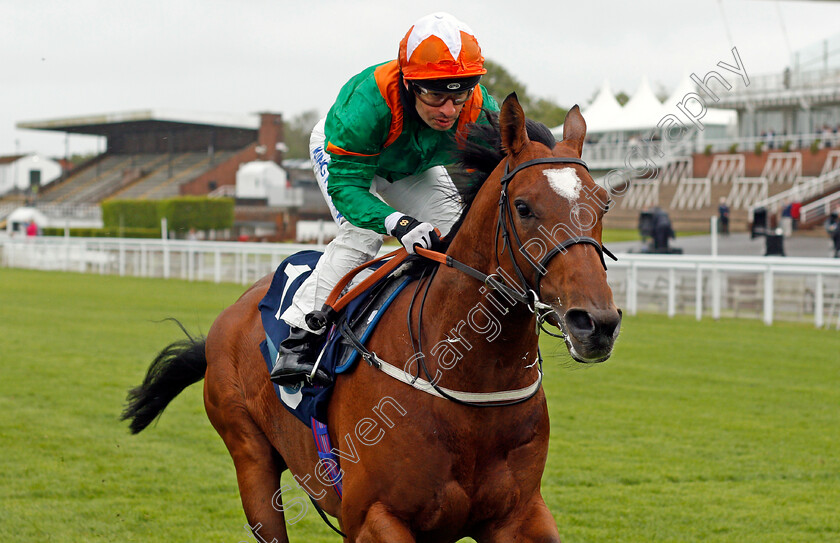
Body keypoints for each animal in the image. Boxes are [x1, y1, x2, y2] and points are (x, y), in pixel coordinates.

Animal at [124, 95, 624, 540]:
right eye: (523, 207)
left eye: (602, 204)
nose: (595, 323)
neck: (467, 379)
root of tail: (230, 315)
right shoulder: (373, 517)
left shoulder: (519, 514)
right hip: (251, 460)